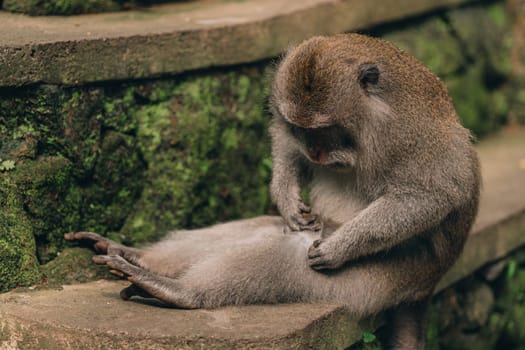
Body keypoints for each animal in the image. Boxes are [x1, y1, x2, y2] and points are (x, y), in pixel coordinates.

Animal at [65, 33, 478, 350]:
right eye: (303, 130)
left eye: (326, 129)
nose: (316, 152)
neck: (371, 117)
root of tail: (425, 287)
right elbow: (284, 143)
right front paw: (286, 197)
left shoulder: (412, 134)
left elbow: (431, 196)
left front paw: (338, 247)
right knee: (255, 231)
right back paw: (137, 256)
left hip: (387, 277)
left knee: (286, 259)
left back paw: (180, 292)